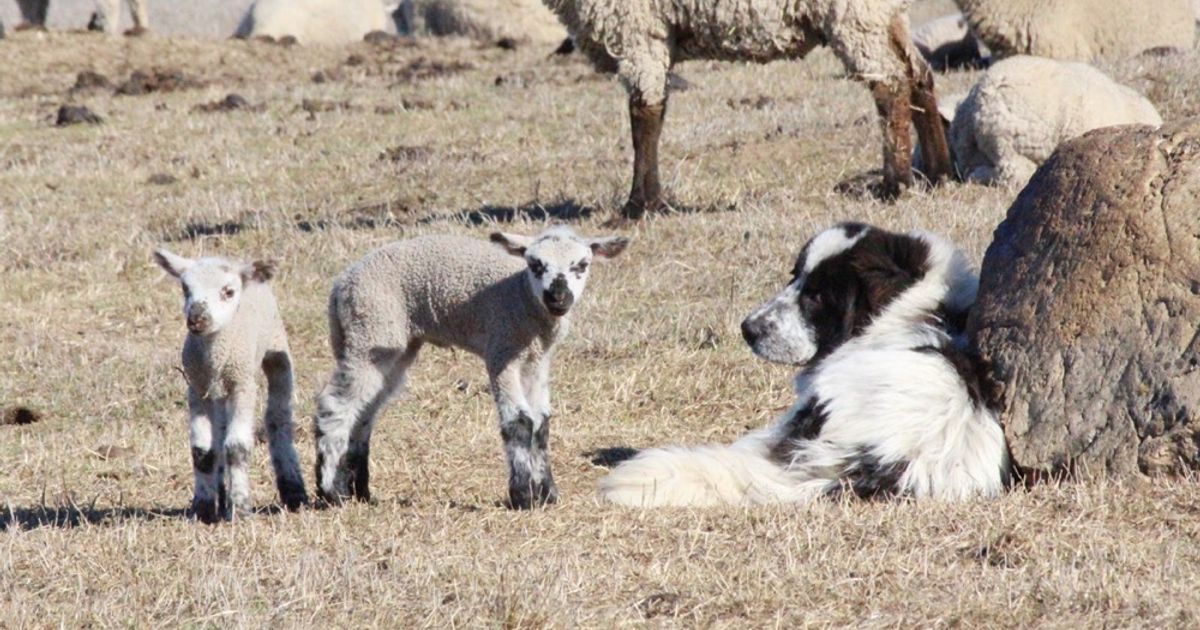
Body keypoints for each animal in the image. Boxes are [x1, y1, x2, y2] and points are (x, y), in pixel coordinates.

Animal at [154, 249, 308, 523]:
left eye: (228, 291)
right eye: (185, 288)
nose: (197, 318)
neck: (216, 356)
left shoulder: (242, 383)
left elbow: (236, 447)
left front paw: (241, 509)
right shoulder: (197, 385)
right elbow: (202, 451)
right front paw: (203, 509)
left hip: (275, 347)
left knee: (277, 418)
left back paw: (293, 491)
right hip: (217, 392)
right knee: (220, 431)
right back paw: (221, 498)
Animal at [313, 226, 629, 509]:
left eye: (582, 265)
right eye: (535, 265)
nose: (558, 297)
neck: (522, 297)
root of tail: (339, 286)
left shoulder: (537, 360)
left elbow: (541, 423)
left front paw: (548, 494)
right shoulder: (502, 350)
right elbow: (519, 421)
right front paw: (523, 497)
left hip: (390, 342)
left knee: (364, 413)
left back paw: (361, 493)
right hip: (371, 330)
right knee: (335, 405)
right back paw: (332, 493)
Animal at [538, 0, 955, 219]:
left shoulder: (636, 28)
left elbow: (644, 117)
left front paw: (638, 206)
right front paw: (650, 203)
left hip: (857, 14)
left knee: (890, 86)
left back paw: (895, 185)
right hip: (886, 15)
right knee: (918, 78)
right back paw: (939, 174)